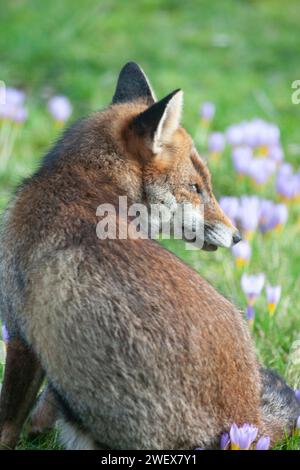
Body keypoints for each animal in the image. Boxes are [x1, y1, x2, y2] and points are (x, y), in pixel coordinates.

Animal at [0, 61, 298, 448]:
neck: (83, 180)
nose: (237, 236)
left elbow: (9, 422)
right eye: (195, 188)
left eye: (206, 186)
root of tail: (247, 426)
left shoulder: (22, 335)